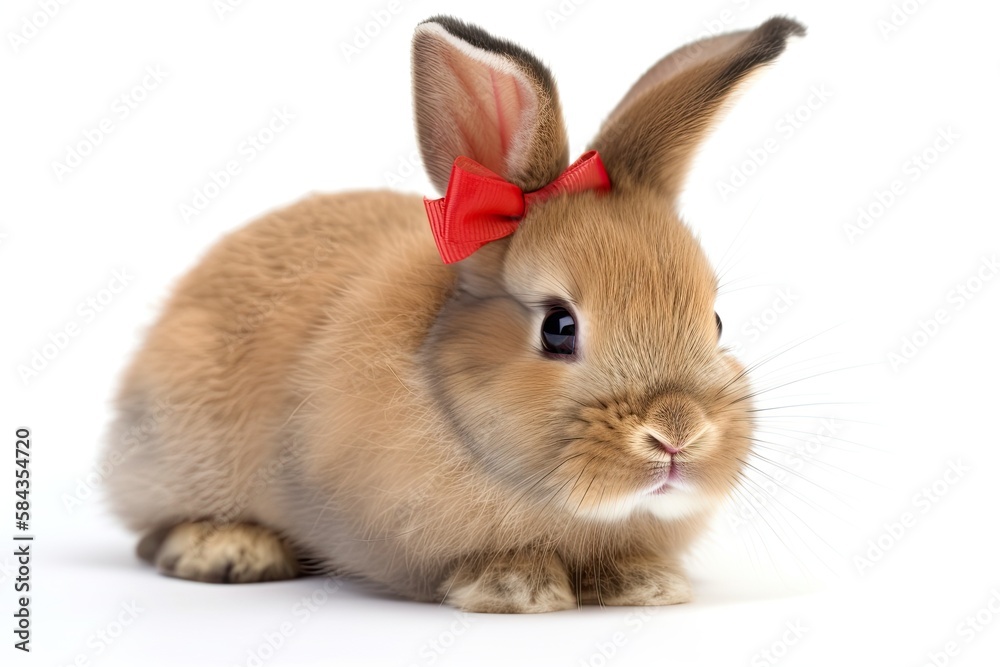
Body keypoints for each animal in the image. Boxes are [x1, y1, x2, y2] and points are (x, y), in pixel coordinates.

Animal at [103, 15, 805, 612]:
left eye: (716, 322)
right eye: (558, 328)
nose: (677, 433)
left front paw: (645, 585)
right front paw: (516, 587)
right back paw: (224, 549)